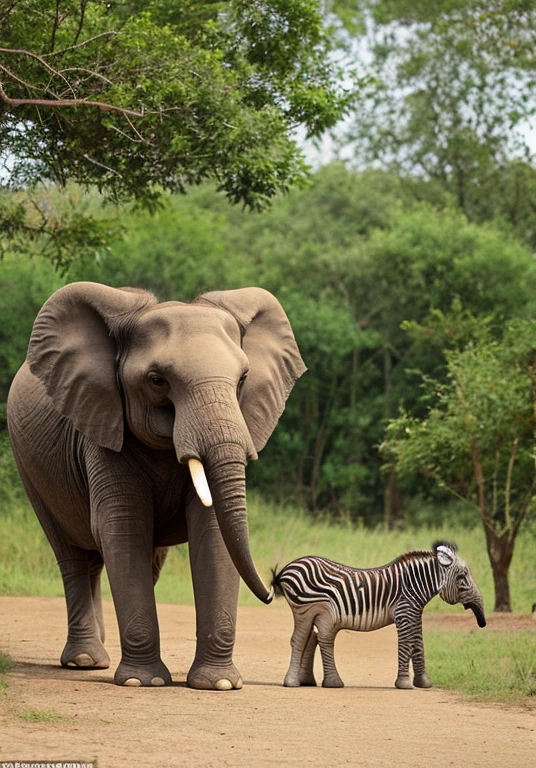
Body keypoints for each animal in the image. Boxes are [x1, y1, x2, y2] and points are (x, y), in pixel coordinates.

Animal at [7, 282, 306, 688]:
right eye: (157, 381)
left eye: (243, 379)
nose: (273, 589)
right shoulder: (103, 428)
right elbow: (123, 527)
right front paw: (142, 682)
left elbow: (212, 531)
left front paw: (219, 684)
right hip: (30, 468)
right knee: (72, 555)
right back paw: (86, 661)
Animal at [272, 540, 486, 688]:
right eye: (462, 577)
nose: (482, 623)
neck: (413, 584)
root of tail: (287, 568)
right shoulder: (404, 613)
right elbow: (406, 644)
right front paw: (404, 684)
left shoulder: (415, 613)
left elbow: (418, 643)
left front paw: (423, 682)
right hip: (305, 609)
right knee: (300, 639)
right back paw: (293, 682)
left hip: (318, 613)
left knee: (315, 638)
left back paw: (318, 682)